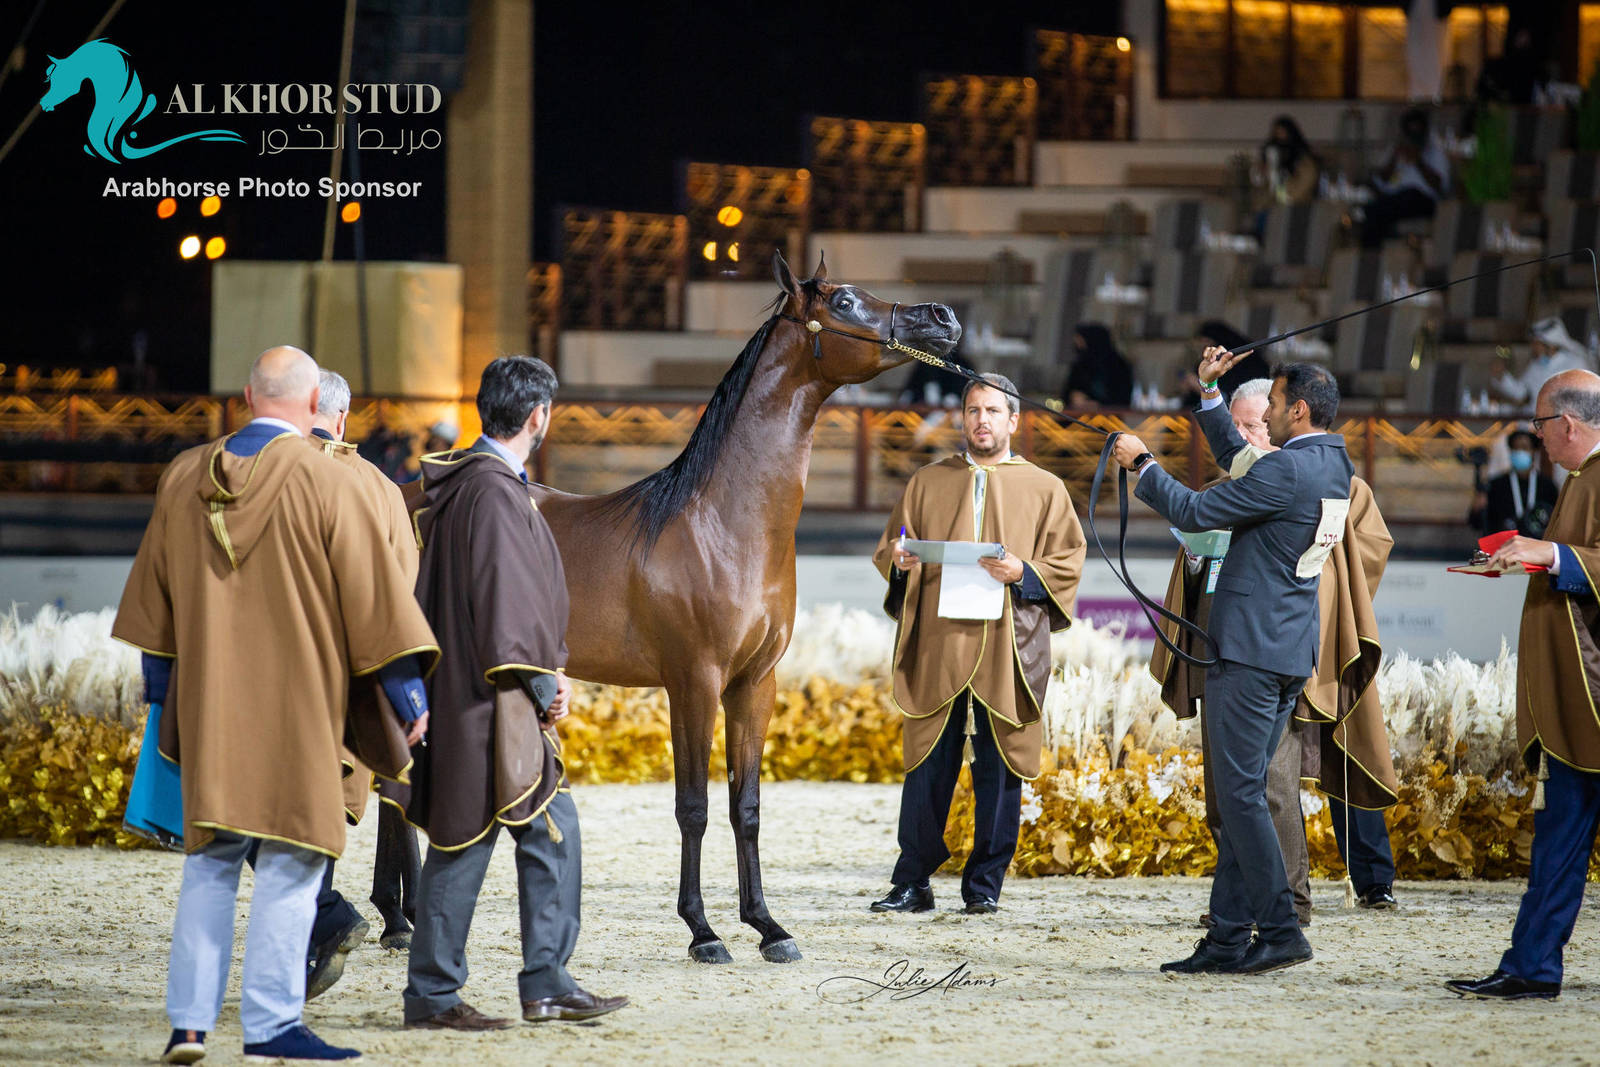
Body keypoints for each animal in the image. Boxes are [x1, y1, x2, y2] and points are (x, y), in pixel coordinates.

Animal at [531, 252, 960, 963]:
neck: (722, 524)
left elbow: (746, 807)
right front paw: (703, 933)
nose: (944, 317)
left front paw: (767, 926)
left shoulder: (755, 683)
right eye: (844, 300)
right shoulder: (694, 681)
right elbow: (694, 807)